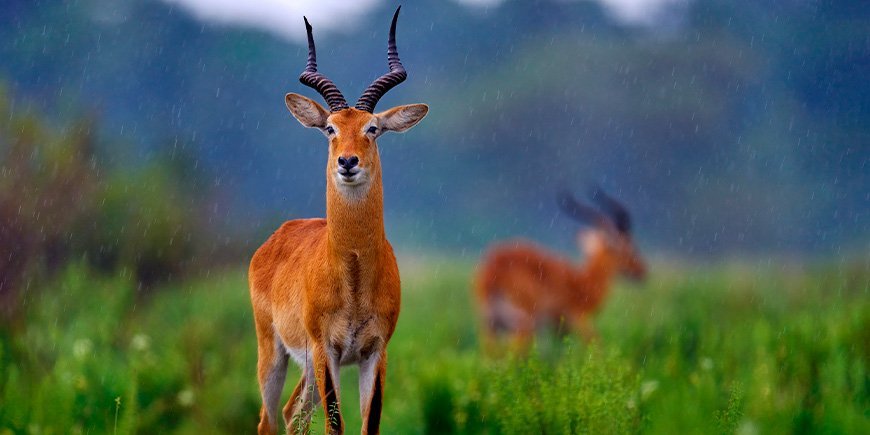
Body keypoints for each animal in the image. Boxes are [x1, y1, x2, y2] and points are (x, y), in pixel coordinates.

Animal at [249, 7, 430, 435]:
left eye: (373, 128)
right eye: (330, 128)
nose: (348, 162)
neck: (354, 276)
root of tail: (276, 237)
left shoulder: (375, 351)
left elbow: (369, 423)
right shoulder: (326, 349)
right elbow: (336, 424)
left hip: (307, 366)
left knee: (293, 413)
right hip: (275, 352)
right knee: (269, 419)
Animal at [476, 189, 648, 350]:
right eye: (629, 248)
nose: (642, 272)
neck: (585, 283)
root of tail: (494, 269)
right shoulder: (580, 320)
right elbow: (596, 345)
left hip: (491, 326)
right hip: (523, 324)